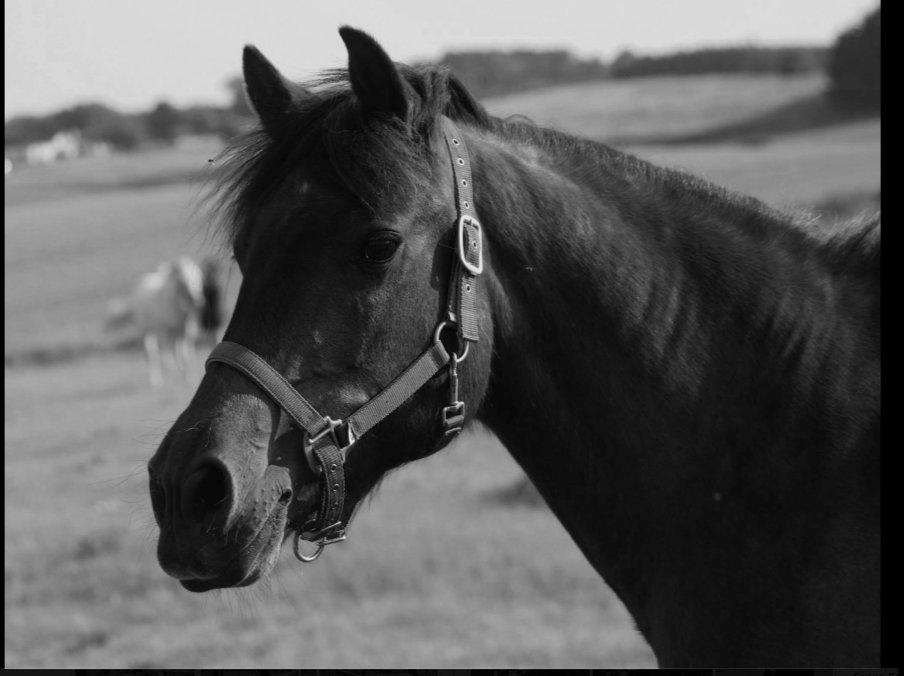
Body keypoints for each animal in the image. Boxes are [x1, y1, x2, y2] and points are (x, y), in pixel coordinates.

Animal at [107, 256, 212, 386]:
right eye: (181, 279)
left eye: (197, 277)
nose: (197, 299)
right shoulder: (167, 332)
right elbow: (169, 355)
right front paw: (174, 374)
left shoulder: (185, 332)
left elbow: (184, 355)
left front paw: (188, 378)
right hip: (145, 330)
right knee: (151, 353)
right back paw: (156, 380)